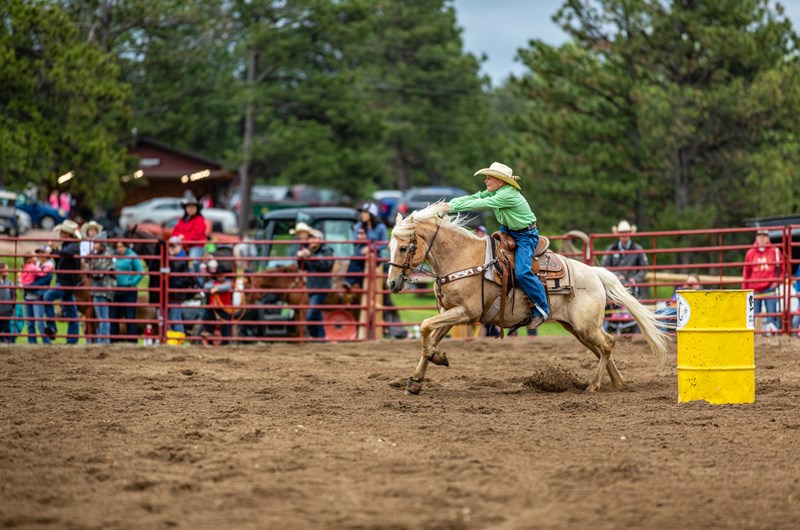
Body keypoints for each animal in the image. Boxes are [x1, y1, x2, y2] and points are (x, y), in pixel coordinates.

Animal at [384, 201, 672, 392]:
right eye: (389, 246)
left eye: (403, 247)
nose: (392, 283)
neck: (462, 257)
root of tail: (594, 273)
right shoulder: (449, 313)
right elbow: (429, 336)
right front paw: (417, 379)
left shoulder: (465, 312)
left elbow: (424, 327)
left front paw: (437, 359)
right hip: (578, 328)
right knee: (602, 348)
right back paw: (617, 383)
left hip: (585, 326)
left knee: (608, 344)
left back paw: (594, 385)